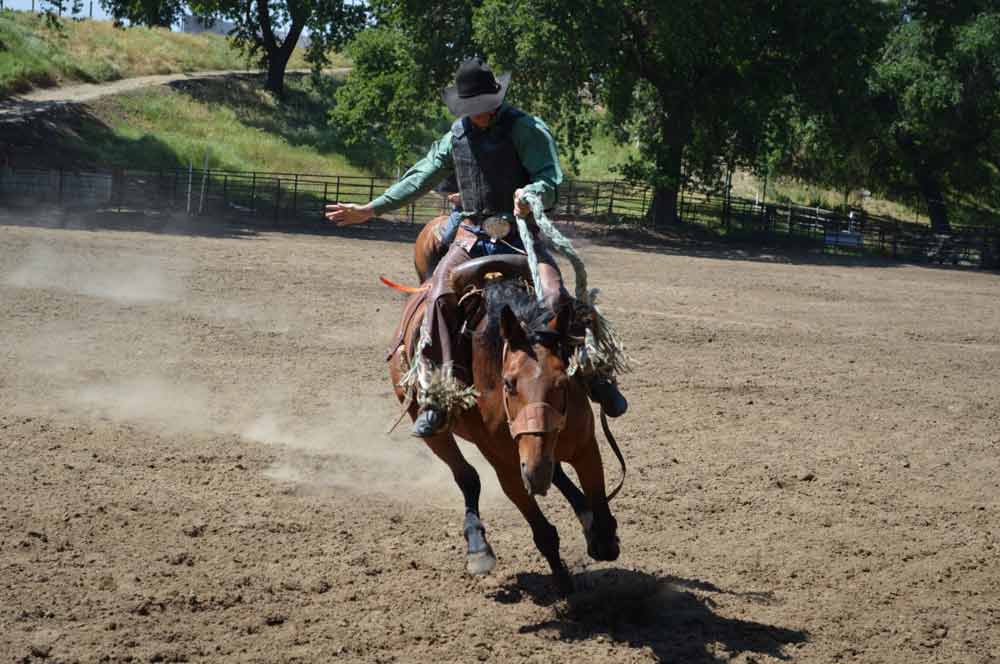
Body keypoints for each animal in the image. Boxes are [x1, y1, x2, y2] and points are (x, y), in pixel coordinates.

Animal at [386, 217, 620, 592]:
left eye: (563, 381)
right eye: (508, 383)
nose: (534, 470)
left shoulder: (584, 445)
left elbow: (597, 500)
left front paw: (602, 535)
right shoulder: (505, 466)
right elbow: (542, 532)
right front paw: (563, 583)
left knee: (551, 472)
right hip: (433, 430)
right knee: (467, 477)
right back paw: (478, 546)